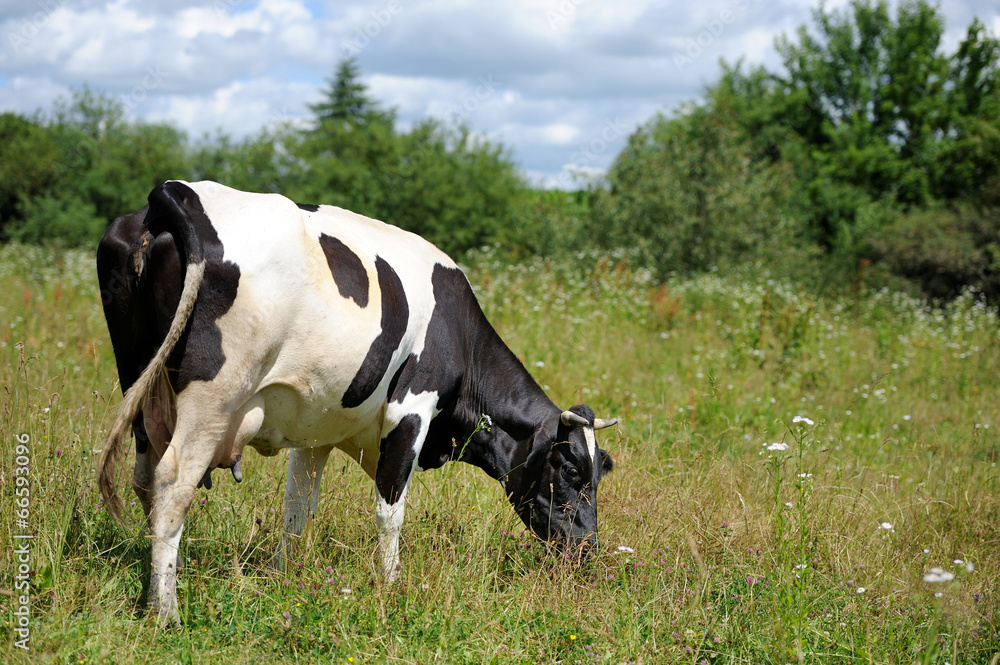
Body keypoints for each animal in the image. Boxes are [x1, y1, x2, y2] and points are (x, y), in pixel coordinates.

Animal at [99, 179, 616, 624]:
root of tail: (177, 194)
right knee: (172, 482)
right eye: (570, 470)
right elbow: (390, 510)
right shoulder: (411, 409)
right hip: (214, 393)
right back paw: (166, 611)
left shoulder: (316, 428)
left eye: (599, 475)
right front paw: (391, 586)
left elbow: (297, 510)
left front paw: (281, 578)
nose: (587, 549)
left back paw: (154, 590)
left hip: (142, 385)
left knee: (144, 478)